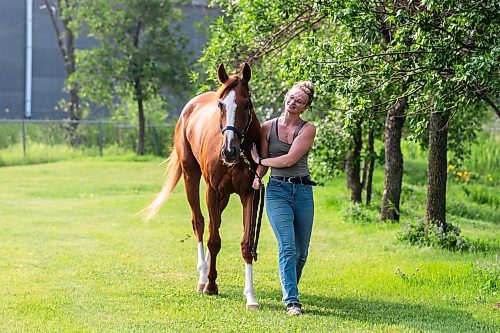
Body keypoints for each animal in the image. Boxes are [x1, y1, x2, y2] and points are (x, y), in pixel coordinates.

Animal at [144, 63, 262, 308]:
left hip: (223, 196)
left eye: (247, 104)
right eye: (220, 105)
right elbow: (214, 240)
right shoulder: (212, 190)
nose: (229, 150)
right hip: (192, 177)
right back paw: (202, 278)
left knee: (211, 225)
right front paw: (211, 285)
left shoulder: (249, 193)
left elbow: (246, 244)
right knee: (199, 223)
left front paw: (251, 297)